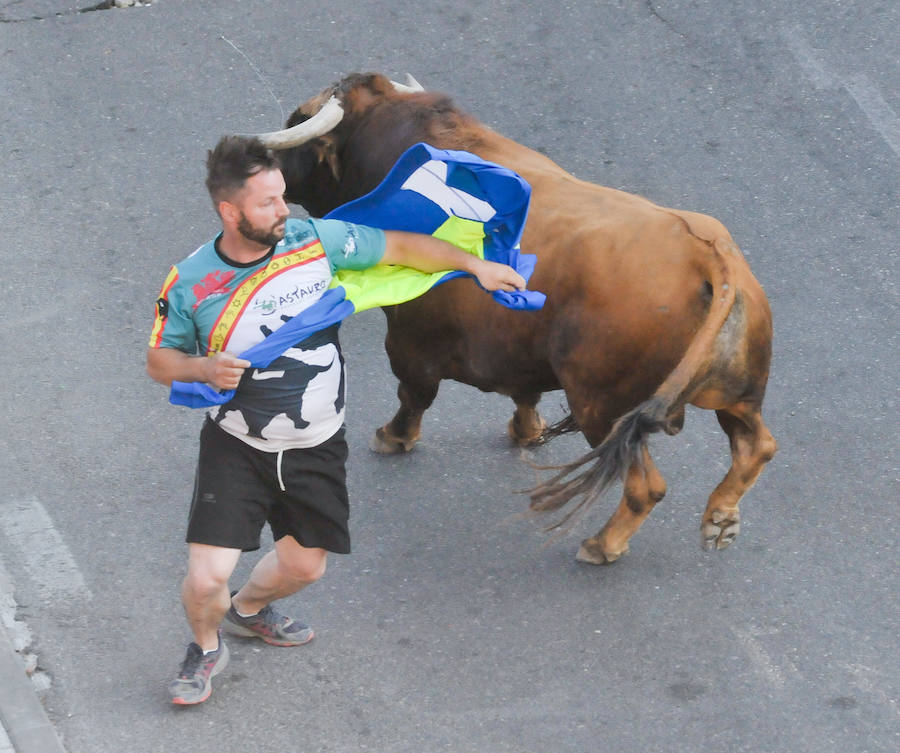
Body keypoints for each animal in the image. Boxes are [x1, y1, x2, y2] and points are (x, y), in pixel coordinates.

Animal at [251, 73, 772, 564]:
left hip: (601, 407)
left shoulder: (410, 337)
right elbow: (524, 393)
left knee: (647, 487)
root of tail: (707, 253)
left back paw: (603, 545)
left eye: (299, 121)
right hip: (736, 395)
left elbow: (414, 394)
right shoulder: (517, 348)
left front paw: (393, 437)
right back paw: (721, 518)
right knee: (756, 446)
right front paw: (528, 432)